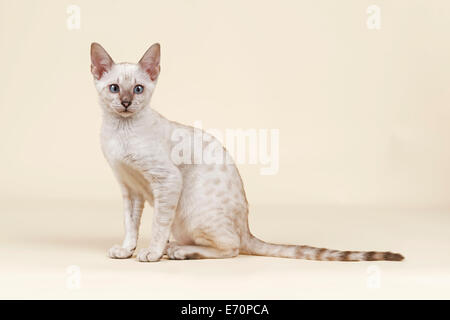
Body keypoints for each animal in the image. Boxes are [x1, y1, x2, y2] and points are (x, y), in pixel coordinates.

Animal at [90, 42, 404, 262]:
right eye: (115, 88)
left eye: (138, 89)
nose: (126, 103)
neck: (120, 132)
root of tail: (247, 227)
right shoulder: (130, 188)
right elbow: (130, 225)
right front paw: (126, 250)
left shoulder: (166, 180)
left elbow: (157, 225)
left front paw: (151, 253)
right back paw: (175, 246)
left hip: (192, 212)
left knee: (232, 247)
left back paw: (178, 250)